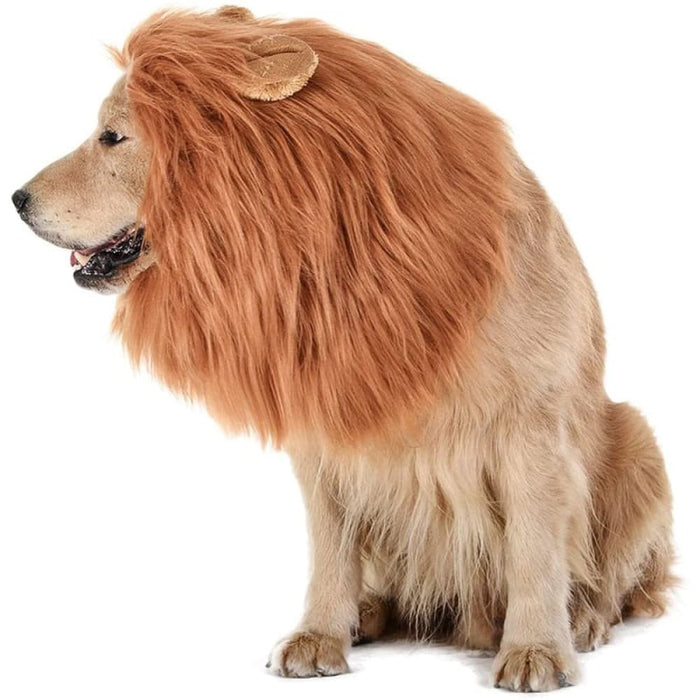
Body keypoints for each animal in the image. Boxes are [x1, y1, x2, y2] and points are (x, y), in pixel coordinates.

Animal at [11, 6, 673, 691]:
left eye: (112, 137)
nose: (17, 199)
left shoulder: (531, 429)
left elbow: (534, 550)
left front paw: (537, 649)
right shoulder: (325, 428)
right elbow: (331, 551)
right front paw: (320, 635)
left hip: (636, 439)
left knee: (616, 582)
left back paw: (584, 621)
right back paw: (369, 613)